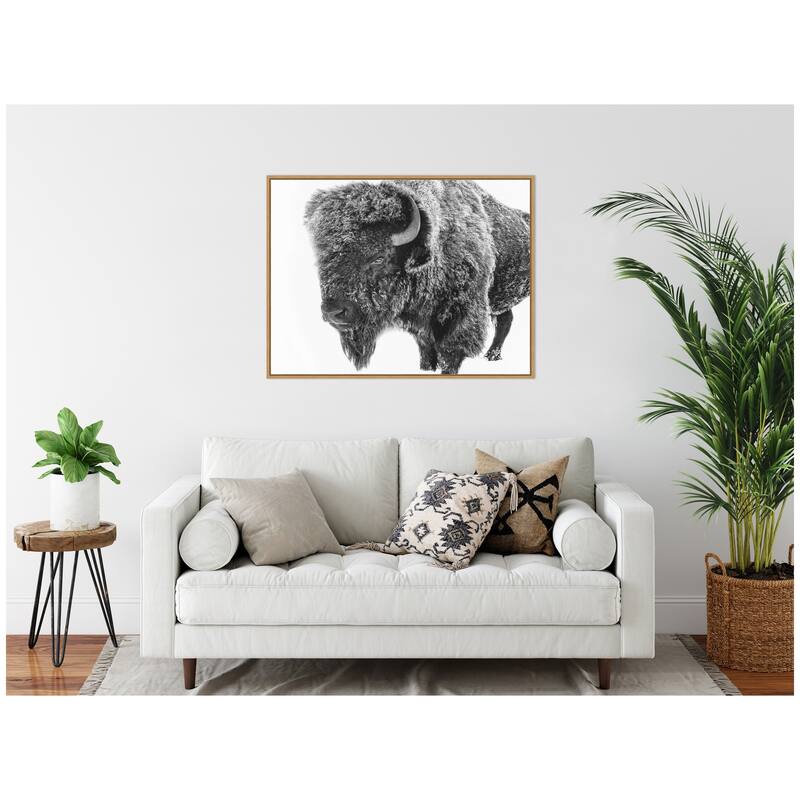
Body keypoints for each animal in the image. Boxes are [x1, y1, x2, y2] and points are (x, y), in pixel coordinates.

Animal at [304, 179, 530, 374]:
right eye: (322, 260)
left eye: (378, 257)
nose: (334, 312)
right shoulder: (421, 329)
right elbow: (427, 353)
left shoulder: (462, 319)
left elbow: (450, 354)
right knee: (506, 319)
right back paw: (492, 356)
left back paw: (492, 356)